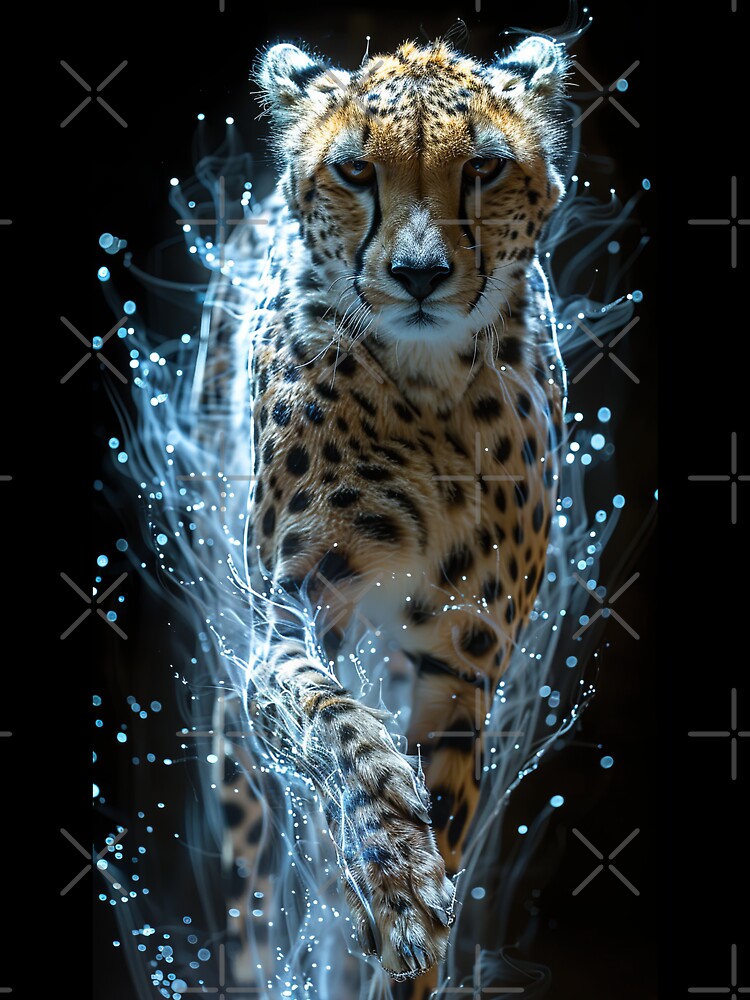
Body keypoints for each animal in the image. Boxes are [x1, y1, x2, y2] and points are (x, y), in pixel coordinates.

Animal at [215, 33, 570, 1000]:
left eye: (484, 167)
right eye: (355, 170)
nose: (418, 276)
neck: (427, 388)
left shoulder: (465, 662)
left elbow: (445, 808)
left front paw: (413, 935)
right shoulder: (284, 617)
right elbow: (332, 720)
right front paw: (396, 878)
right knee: (253, 886)